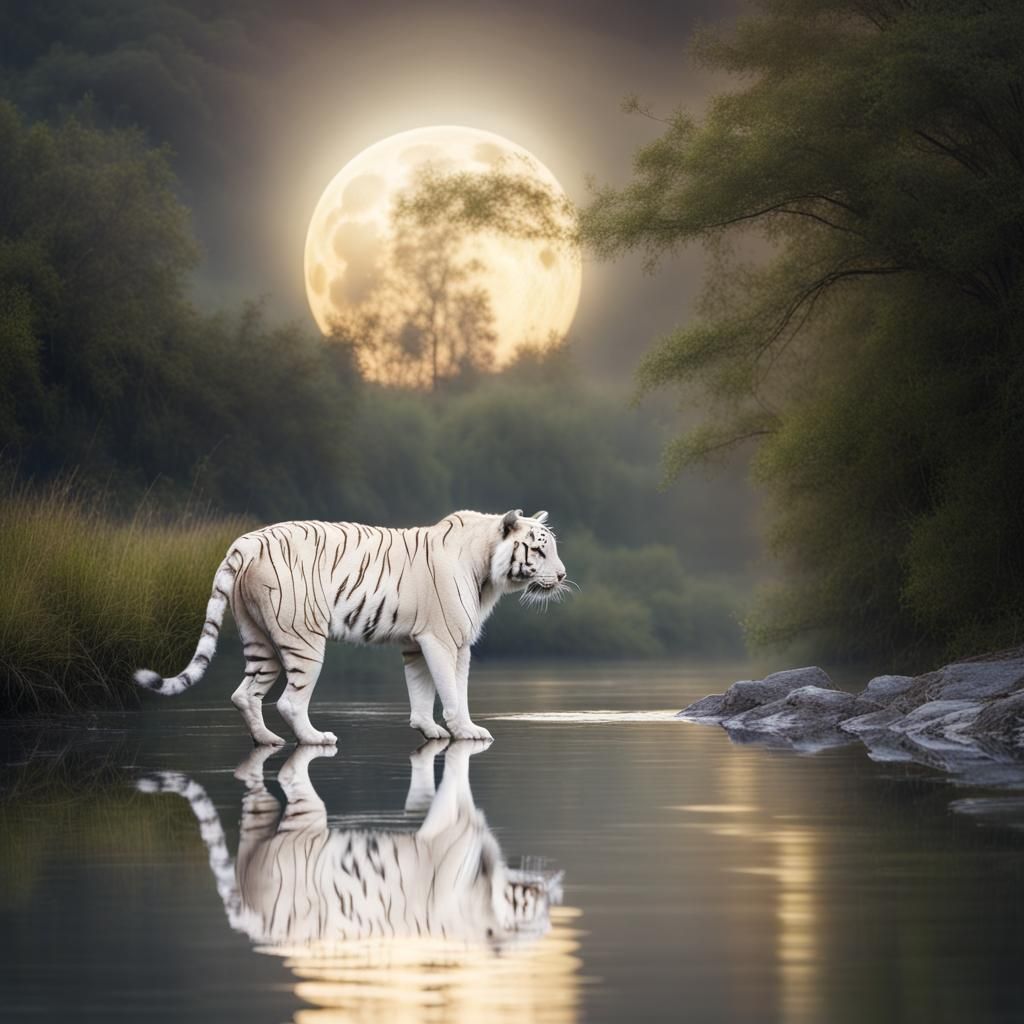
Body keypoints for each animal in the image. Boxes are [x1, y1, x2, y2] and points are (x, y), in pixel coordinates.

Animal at [134, 509, 567, 745]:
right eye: (539, 549)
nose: (563, 575)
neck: (487, 573)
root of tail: (248, 541)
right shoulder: (446, 641)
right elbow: (452, 689)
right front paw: (467, 730)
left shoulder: (416, 643)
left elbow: (421, 690)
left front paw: (428, 729)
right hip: (303, 639)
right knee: (289, 701)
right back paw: (315, 739)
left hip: (259, 638)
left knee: (244, 694)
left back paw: (267, 740)